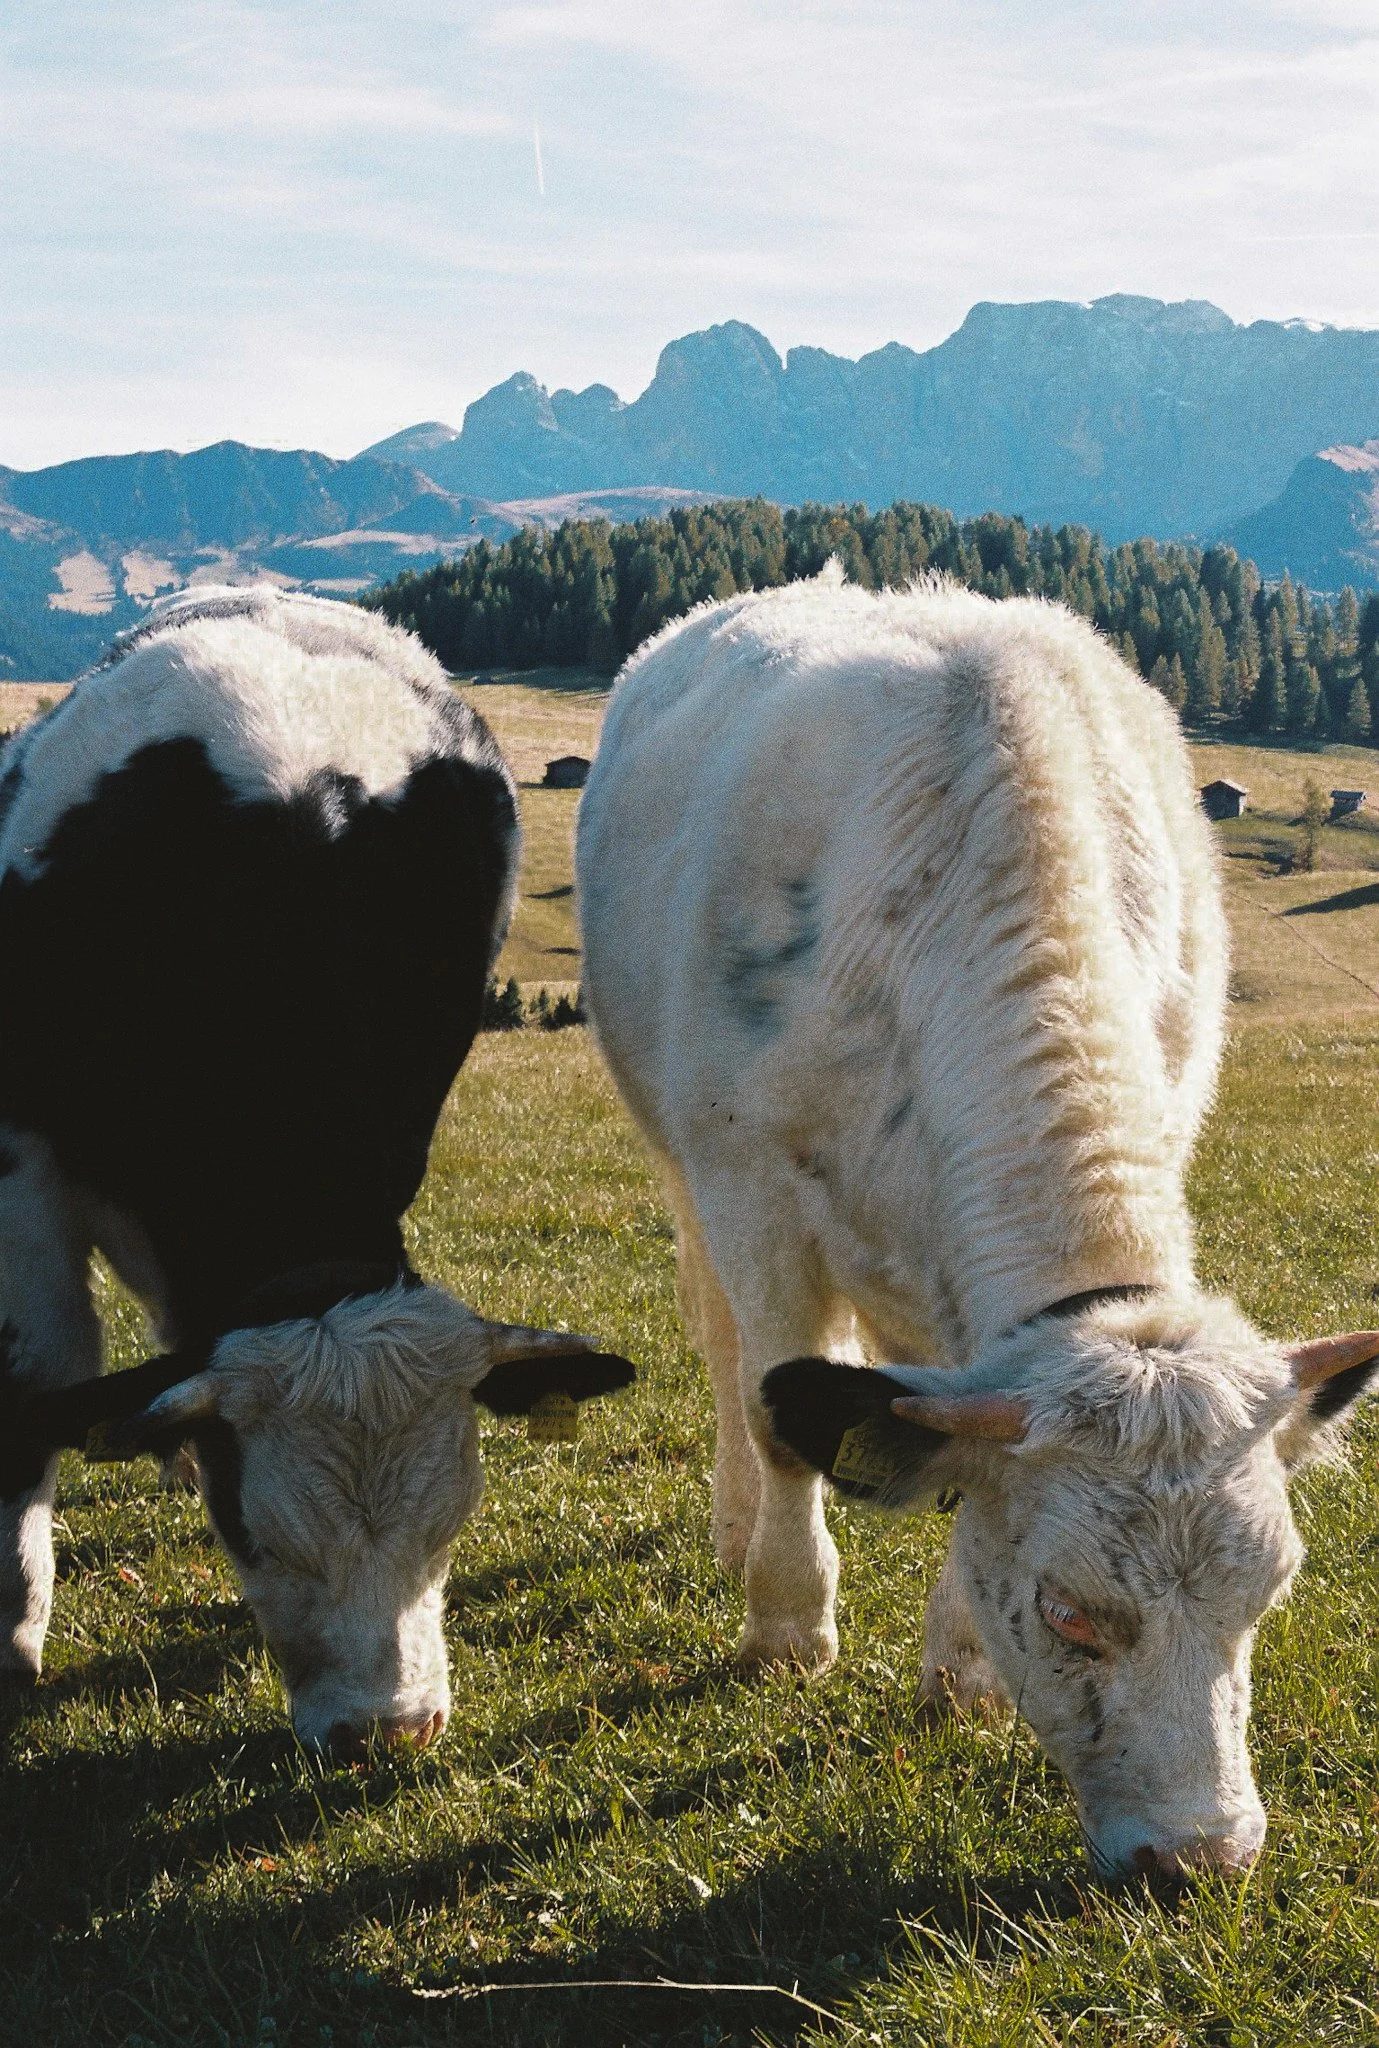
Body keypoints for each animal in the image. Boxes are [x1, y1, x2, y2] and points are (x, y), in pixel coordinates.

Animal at [0, 586, 633, 1754]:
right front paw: (15, 1629)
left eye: (451, 1520)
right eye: (253, 1529)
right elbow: (44, 1368)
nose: (388, 1732)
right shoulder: (22, 1151)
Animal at [576, 567, 1379, 1880]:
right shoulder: (749, 1185)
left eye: (1268, 1593)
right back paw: (737, 1526)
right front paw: (786, 1624)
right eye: (1065, 1609)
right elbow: (777, 1409)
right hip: (679, 1163)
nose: (1199, 1858)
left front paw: (956, 1670)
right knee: (730, 1354)